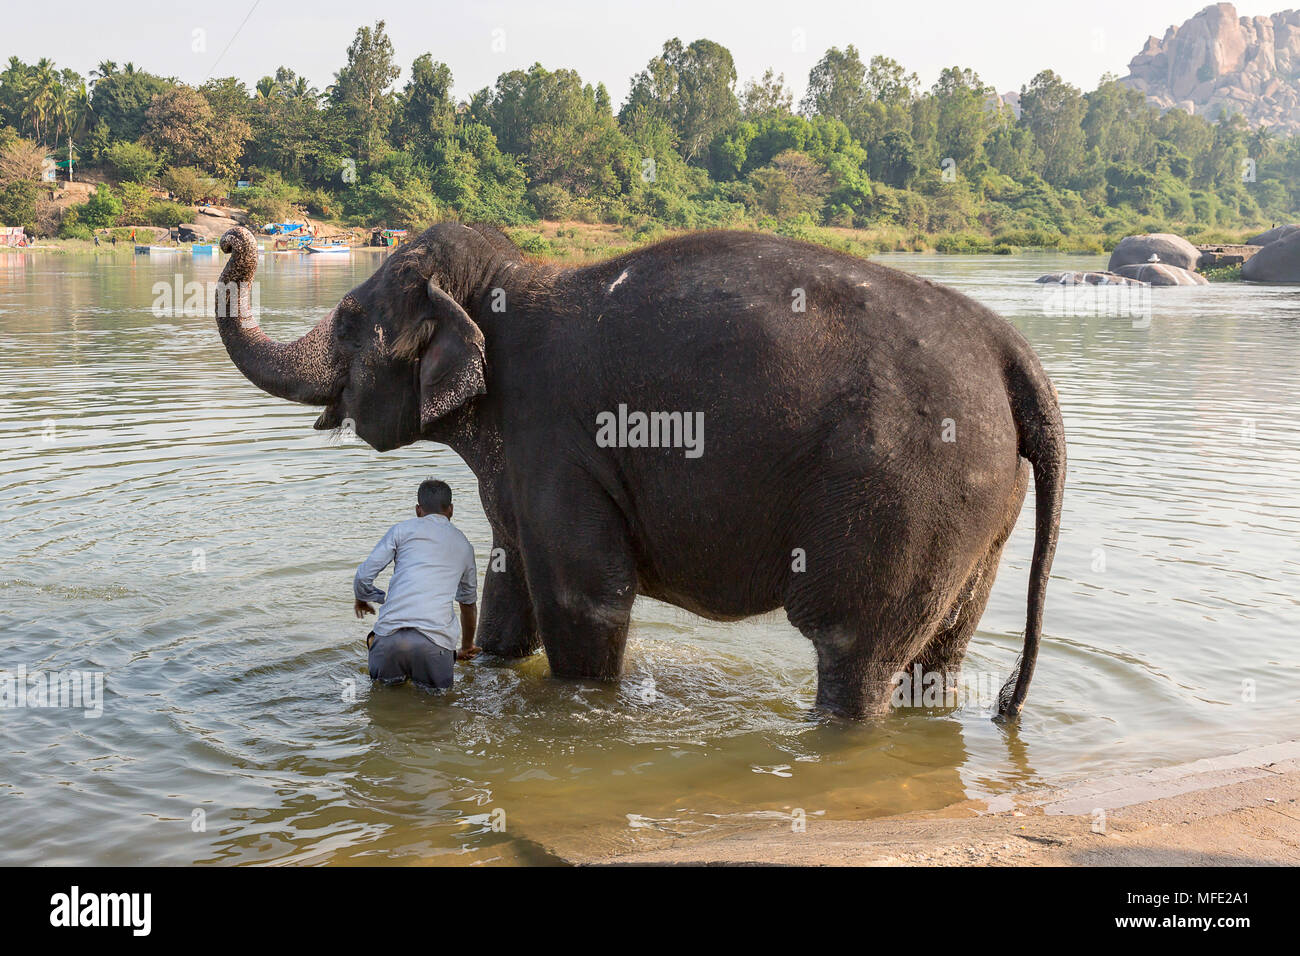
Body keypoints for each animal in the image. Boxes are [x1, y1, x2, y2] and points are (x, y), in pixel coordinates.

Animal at [215, 223, 1066, 717]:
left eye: (351, 320)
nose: (230, 236)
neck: (509, 283)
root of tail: (1011, 351)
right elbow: (506, 587)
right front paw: (491, 664)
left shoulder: (556, 439)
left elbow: (585, 598)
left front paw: (578, 704)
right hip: (978, 511)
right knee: (940, 653)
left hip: (907, 487)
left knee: (853, 650)